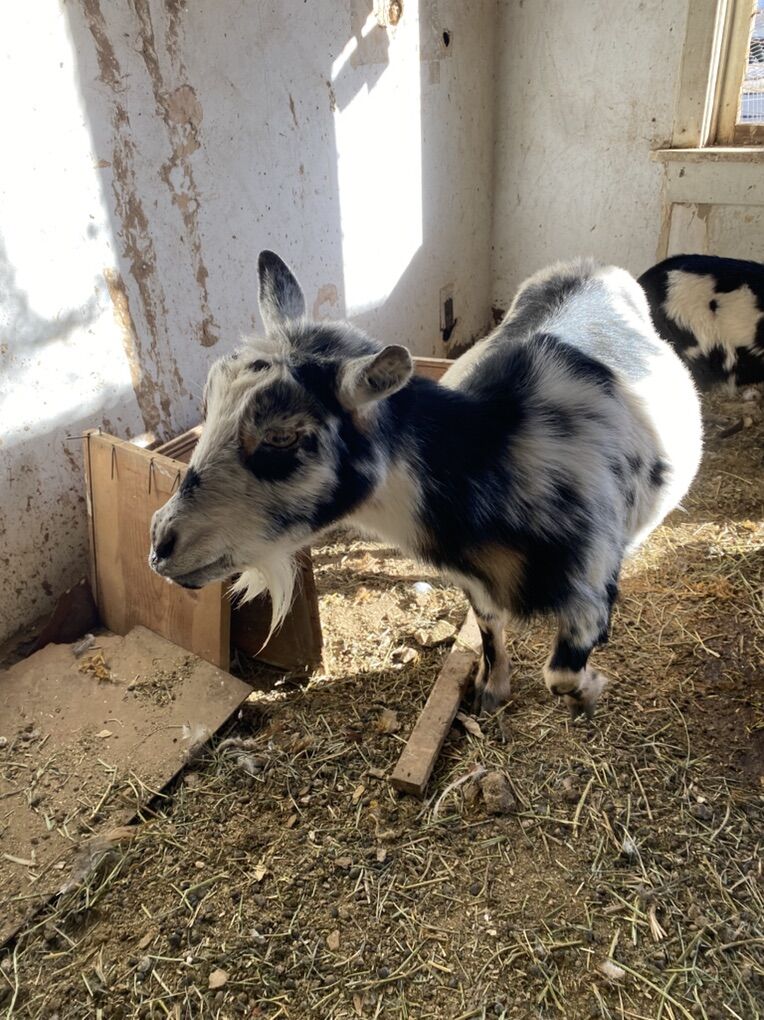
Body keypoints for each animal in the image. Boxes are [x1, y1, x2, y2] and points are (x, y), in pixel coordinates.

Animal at [150, 252, 702, 718]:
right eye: (208, 405)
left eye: (282, 436)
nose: (160, 544)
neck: (496, 454)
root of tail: (591, 265)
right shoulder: (476, 583)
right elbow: (491, 632)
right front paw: (492, 691)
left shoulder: (592, 590)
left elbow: (560, 676)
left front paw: (591, 691)